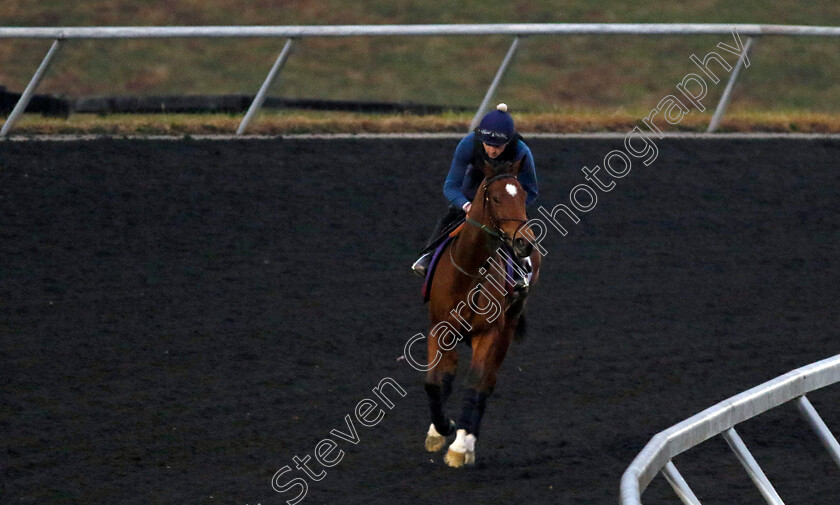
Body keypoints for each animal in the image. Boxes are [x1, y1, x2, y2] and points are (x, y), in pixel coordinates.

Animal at [420, 159, 544, 466]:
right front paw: (441, 428)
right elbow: (434, 382)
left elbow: (474, 383)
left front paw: (459, 446)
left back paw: (468, 443)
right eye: (496, 198)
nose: (525, 243)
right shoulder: (439, 327)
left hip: (508, 328)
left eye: (523, 195)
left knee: (487, 382)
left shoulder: (489, 332)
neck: (468, 272)